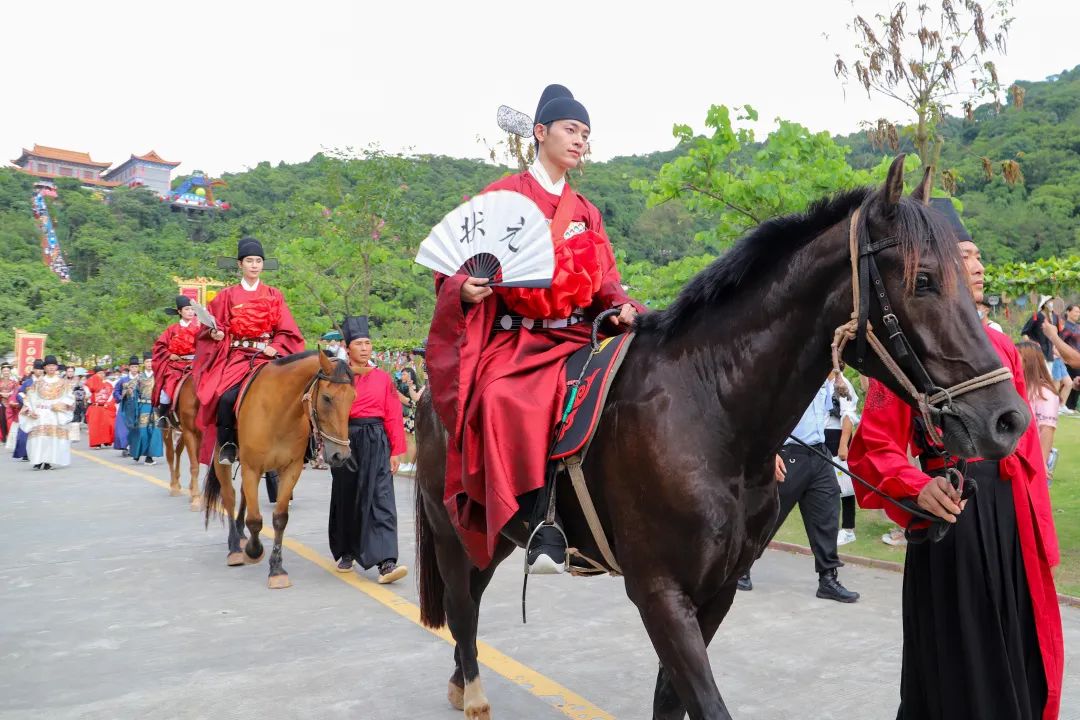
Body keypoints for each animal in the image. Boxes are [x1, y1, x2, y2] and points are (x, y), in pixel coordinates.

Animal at [162, 375, 200, 509]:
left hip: (182, 432)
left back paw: (179, 483)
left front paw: (193, 492)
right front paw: (196, 498)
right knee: (170, 455)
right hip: (167, 430)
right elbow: (194, 466)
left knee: (178, 451)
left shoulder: (200, 434)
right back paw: (174, 486)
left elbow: (196, 462)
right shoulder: (189, 432)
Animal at [203, 349, 354, 591]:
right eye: (326, 398)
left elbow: (280, 518)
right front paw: (253, 551)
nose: (341, 455)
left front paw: (276, 569)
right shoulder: (252, 468)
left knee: (243, 496)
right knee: (229, 496)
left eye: (353, 398)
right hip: (221, 456)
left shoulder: (291, 469)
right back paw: (235, 547)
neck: (280, 412)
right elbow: (255, 519)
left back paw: (241, 536)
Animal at [412, 158, 1028, 720]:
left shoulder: (719, 587)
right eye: (924, 281)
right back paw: (473, 693)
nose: (1008, 420)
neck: (712, 412)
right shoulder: (660, 592)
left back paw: (459, 681)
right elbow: (704, 702)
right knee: (463, 603)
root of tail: (434, 395)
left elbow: (671, 700)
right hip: (451, 526)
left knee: (475, 593)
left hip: (492, 527)